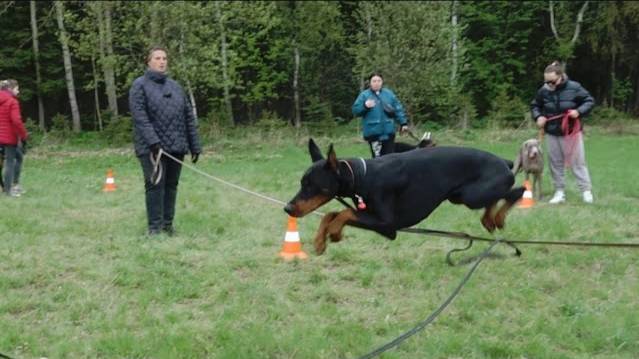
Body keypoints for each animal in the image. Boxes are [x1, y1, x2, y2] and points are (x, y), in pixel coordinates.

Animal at [284, 139, 524, 256]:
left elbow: (345, 212)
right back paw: (489, 220)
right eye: (302, 183)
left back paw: (498, 218)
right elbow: (332, 213)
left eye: (312, 185)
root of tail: (505, 162)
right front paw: (320, 240)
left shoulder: (388, 225)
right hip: (460, 196)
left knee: (517, 190)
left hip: (471, 195)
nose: (287, 208)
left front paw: (334, 232)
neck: (362, 175)